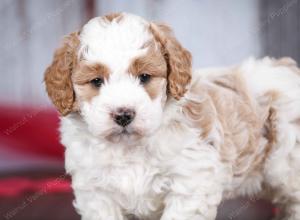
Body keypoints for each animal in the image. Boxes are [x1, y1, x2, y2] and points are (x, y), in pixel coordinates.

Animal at [44, 12, 300, 219]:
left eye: (144, 77)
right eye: (96, 81)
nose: (124, 115)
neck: (130, 147)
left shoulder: (190, 181)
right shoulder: (96, 191)